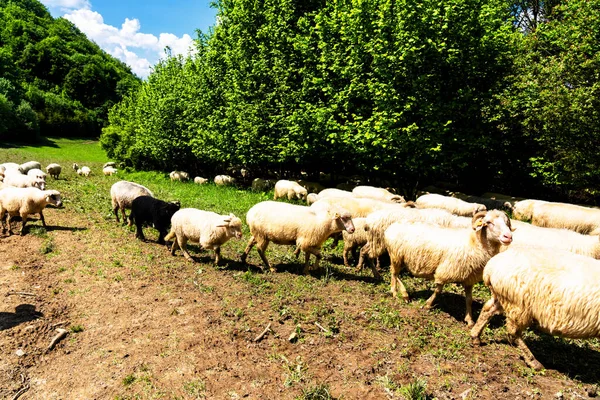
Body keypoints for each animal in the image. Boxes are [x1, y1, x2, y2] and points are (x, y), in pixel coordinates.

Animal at [382, 211, 512, 326]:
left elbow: (469, 300)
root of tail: (391, 226)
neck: (475, 243)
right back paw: (400, 293)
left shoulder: (469, 279)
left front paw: (469, 320)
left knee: (395, 274)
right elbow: (438, 290)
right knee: (394, 274)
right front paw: (428, 304)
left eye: (506, 222)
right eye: (489, 222)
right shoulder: (445, 271)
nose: (509, 236)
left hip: (399, 258)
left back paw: (398, 292)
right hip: (396, 255)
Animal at [472, 247, 600, 372]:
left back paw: (475, 336)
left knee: (488, 309)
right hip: (518, 305)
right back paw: (533, 362)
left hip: (503, 296)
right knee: (513, 331)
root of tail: (491, 267)